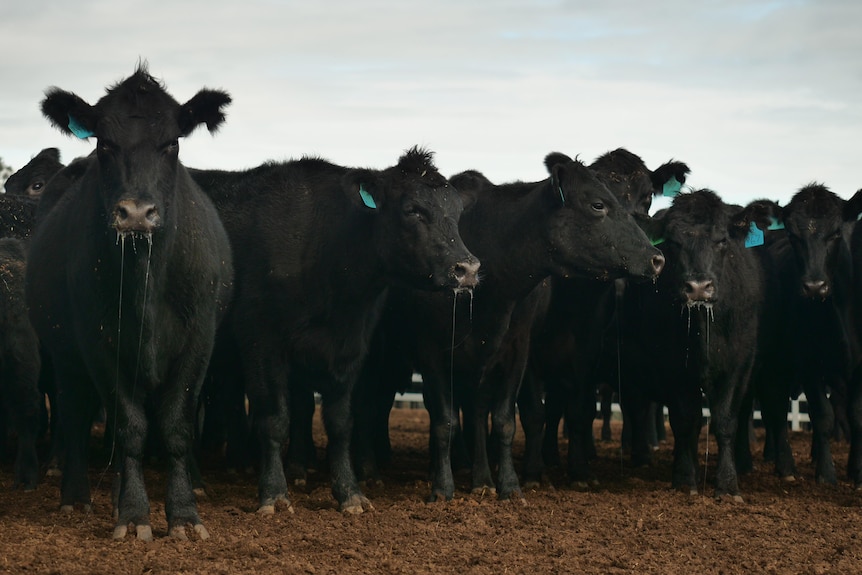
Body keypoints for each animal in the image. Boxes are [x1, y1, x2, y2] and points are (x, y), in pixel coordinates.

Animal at [26, 65, 234, 541]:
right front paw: (135, 514)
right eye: (104, 142)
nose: (137, 213)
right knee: (76, 416)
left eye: (172, 142)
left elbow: (176, 427)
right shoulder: (100, 344)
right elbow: (129, 426)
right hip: (66, 357)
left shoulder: (199, 343)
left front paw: (184, 515)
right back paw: (77, 496)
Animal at [189, 146, 480, 514]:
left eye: (456, 213)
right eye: (413, 210)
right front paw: (274, 493)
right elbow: (274, 419)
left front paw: (349, 492)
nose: (467, 268)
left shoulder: (351, 347)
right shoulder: (261, 341)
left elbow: (341, 422)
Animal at [619, 189, 771, 500]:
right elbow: (685, 421)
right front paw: (684, 477)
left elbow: (725, 421)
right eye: (674, 243)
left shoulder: (739, 364)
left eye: (722, 240)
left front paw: (727, 483)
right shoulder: (671, 367)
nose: (699, 287)